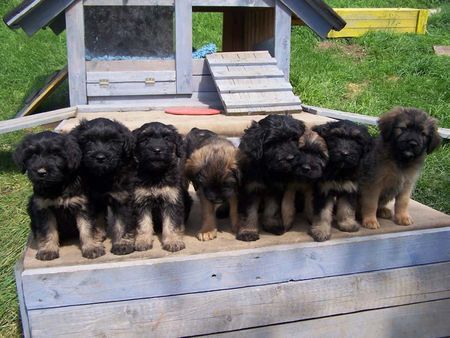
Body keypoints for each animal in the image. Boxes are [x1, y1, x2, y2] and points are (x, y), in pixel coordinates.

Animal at [12, 131, 104, 260]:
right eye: (32, 155)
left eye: (55, 154)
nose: (41, 172)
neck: (58, 186)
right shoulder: (44, 209)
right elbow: (48, 230)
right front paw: (48, 250)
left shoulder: (82, 206)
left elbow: (87, 228)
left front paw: (91, 247)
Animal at [70, 117, 136, 255]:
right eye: (89, 141)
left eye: (113, 141)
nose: (100, 157)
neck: (104, 176)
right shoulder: (92, 199)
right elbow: (94, 221)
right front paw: (95, 239)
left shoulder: (123, 199)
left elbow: (122, 223)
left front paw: (122, 244)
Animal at [133, 123, 191, 252]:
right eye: (145, 139)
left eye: (167, 138)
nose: (157, 150)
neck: (156, 174)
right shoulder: (141, 201)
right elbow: (143, 223)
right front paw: (143, 241)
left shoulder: (172, 200)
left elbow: (171, 223)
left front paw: (173, 241)